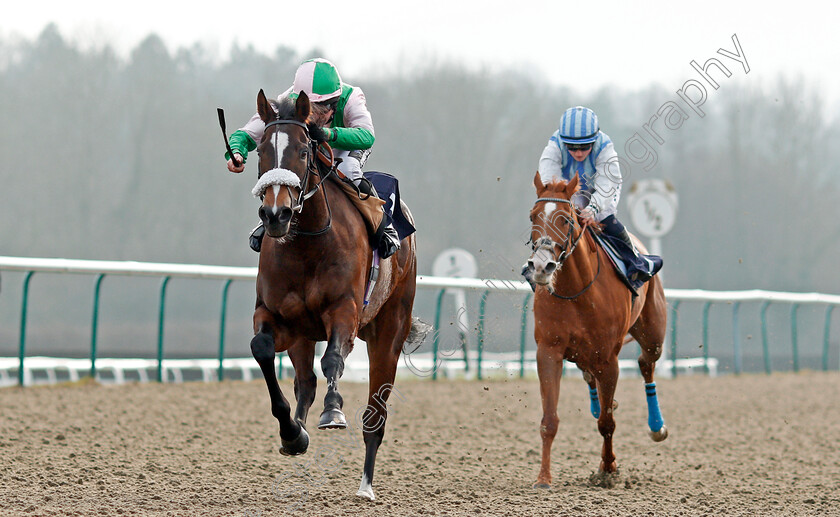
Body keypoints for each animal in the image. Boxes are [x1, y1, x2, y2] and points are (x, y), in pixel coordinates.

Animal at [248, 88, 420, 500]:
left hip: (390, 329)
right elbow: (262, 350)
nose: (275, 214)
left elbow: (333, 360)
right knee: (305, 383)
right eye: (260, 149)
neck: (306, 243)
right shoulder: (275, 316)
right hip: (302, 335)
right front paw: (292, 434)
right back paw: (298, 427)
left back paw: (366, 486)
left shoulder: (345, 311)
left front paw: (334, 410)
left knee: (375, 414)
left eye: (303, 151)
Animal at [524, 173, 668, 488]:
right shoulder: (548, 351)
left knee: (645, 364)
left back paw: (656, 427)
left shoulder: (608, 358)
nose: (541, 267)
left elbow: (607, 422)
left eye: (566, 219)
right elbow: (549, 420)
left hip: (653, 335)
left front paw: (608, 469)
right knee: (590, 376)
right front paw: (543, 477)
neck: (576, 291)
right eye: (532, 216)